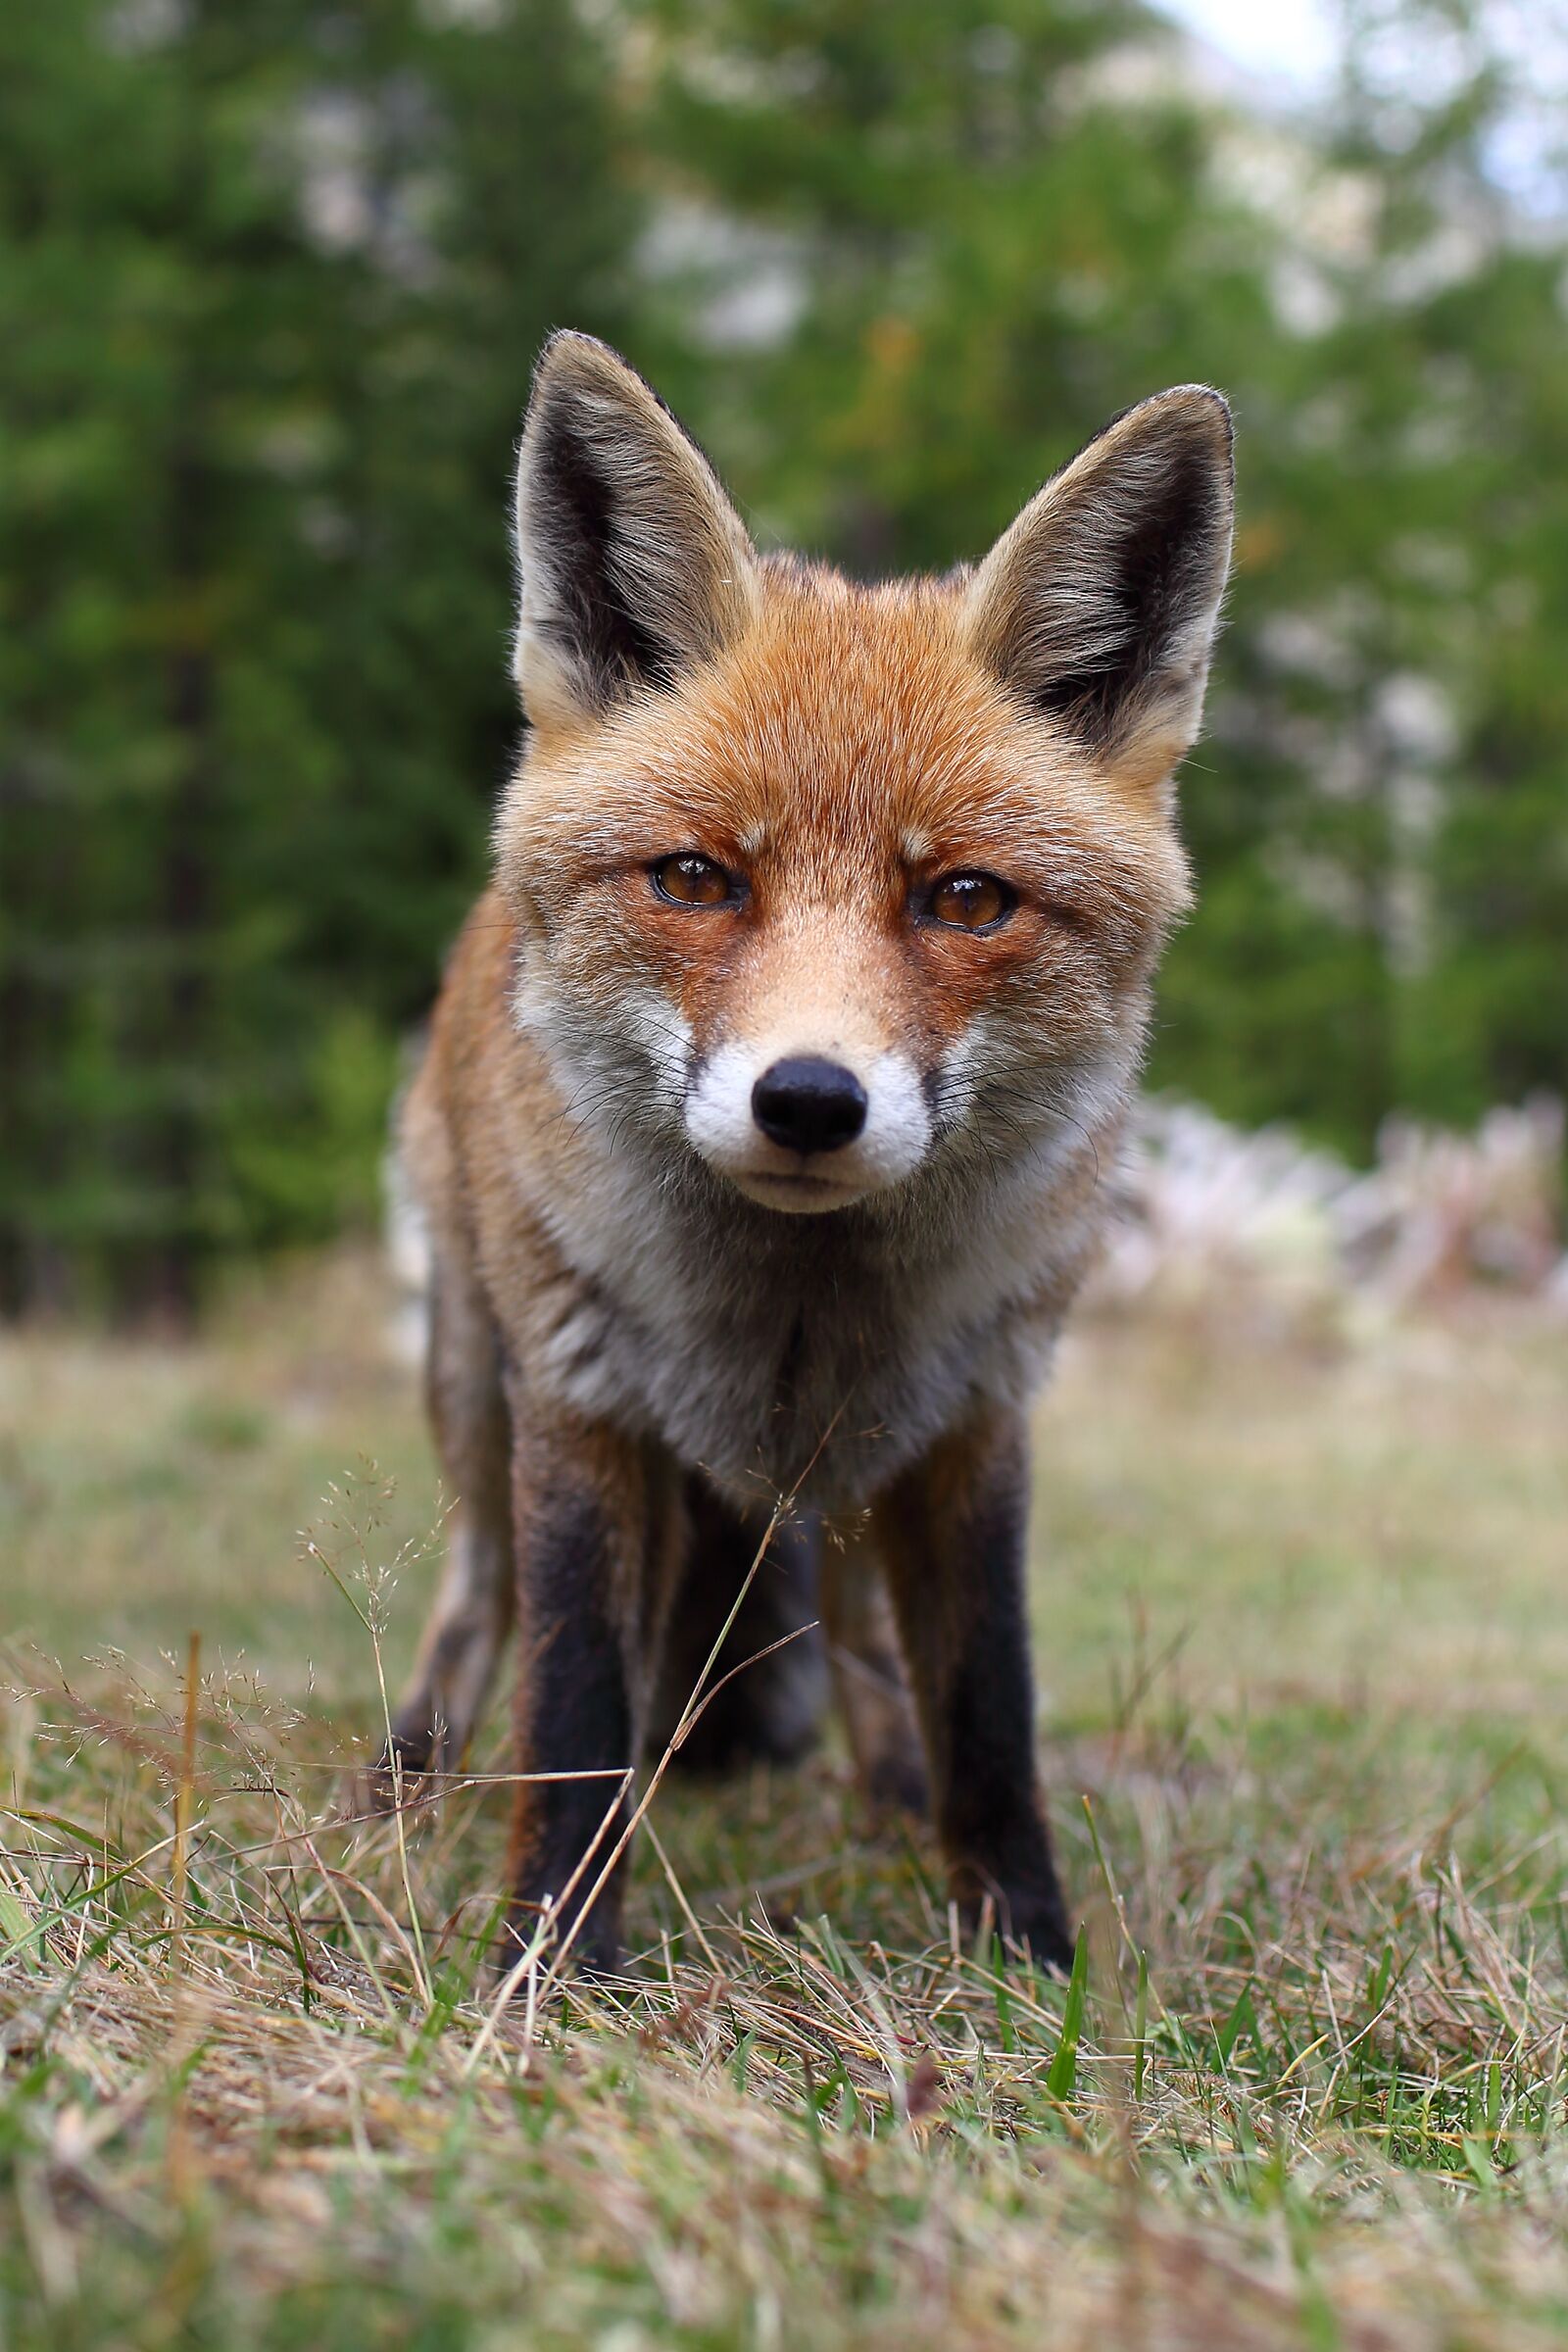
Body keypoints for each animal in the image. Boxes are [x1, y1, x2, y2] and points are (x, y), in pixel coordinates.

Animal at [378, 330, 1234, 1976]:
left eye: (966, 900)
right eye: (698, 879)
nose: (810, 1102)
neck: (790, 1307)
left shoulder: (977, 1415)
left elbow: (987, 1705)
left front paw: (1027, 1955)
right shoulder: (579, 1399)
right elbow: (575, 1704)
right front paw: (547, 1962)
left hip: (852, 1462)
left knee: (856, 1634)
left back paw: (886, 1791)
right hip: (467, 1376)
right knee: (476, 1596)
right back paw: (409, 1775)